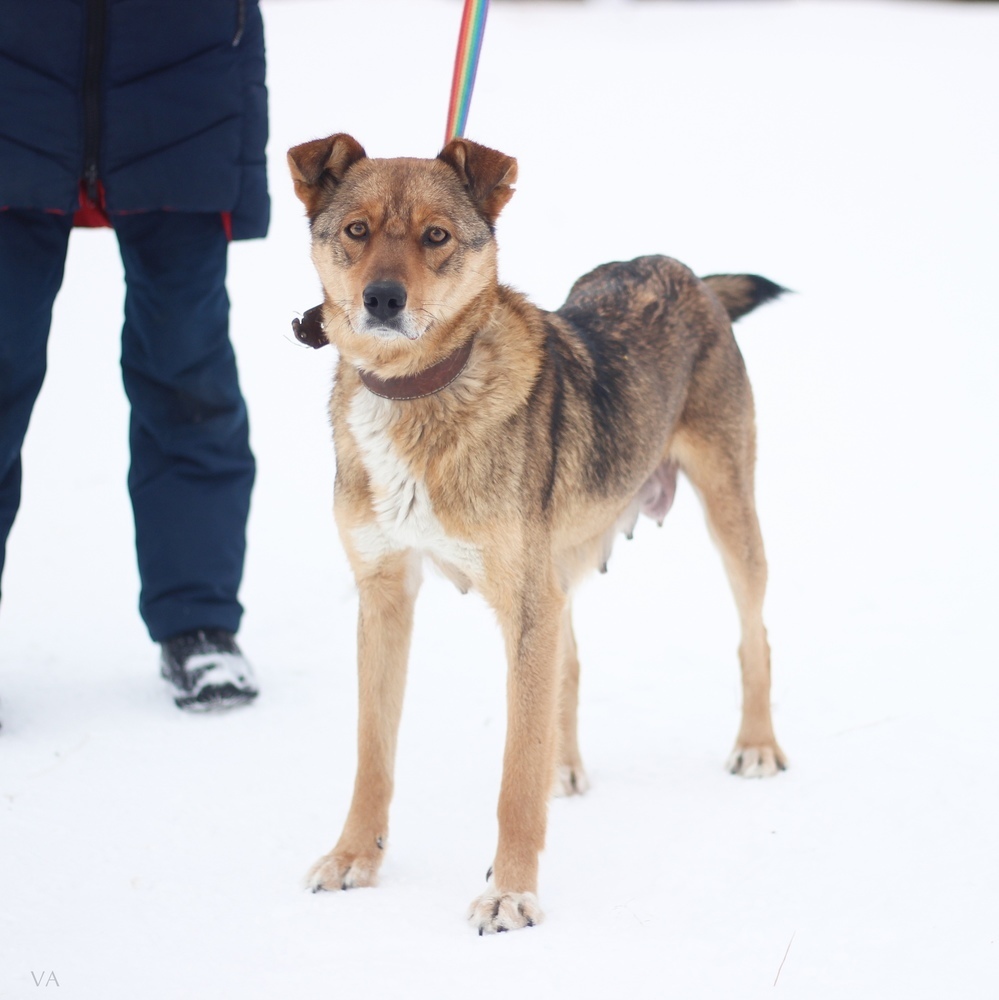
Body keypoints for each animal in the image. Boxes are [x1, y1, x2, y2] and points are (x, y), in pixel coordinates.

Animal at [287, 133, 787, 934]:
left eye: (436, 236)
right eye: (357, 230)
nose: (382, 299)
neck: (418, 394)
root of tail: (680, 270)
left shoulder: (522, 606)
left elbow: (512, 780)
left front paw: (511, 892)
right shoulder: (385, 594)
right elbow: (373, 754)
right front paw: (353, 858)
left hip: (728, 513)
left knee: (753, 634)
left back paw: (757, 746)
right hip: (558, 565)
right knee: (568, 667)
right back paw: (564, 763)